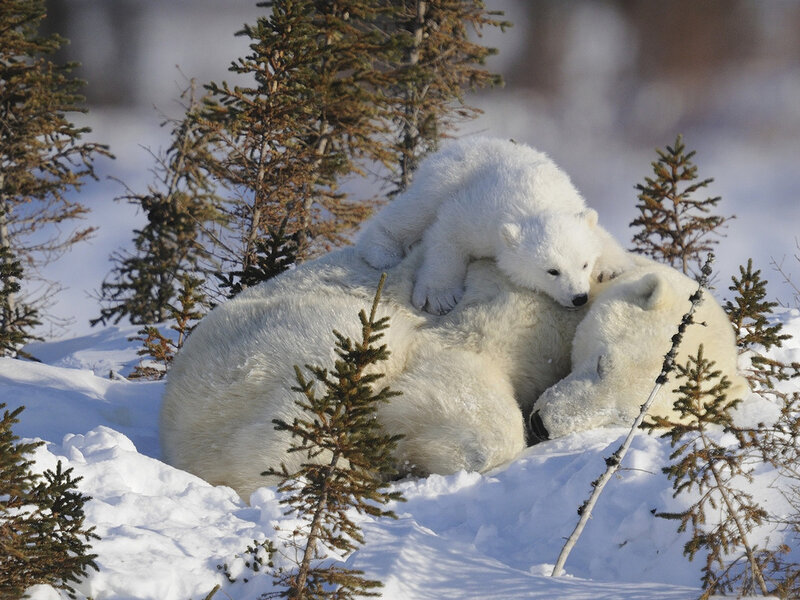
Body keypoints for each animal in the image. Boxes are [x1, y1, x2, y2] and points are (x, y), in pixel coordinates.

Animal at [356, 136, 633, 314]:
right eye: (552, 271)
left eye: (584, 264)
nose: (579, 298)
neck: (536, 200)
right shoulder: (478, 213)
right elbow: (447, 233)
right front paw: (439, 296)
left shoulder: (571, 202)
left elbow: (598, 234)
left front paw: (611, 267)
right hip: (444, 178)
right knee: (414, 210)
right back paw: (382, 251)